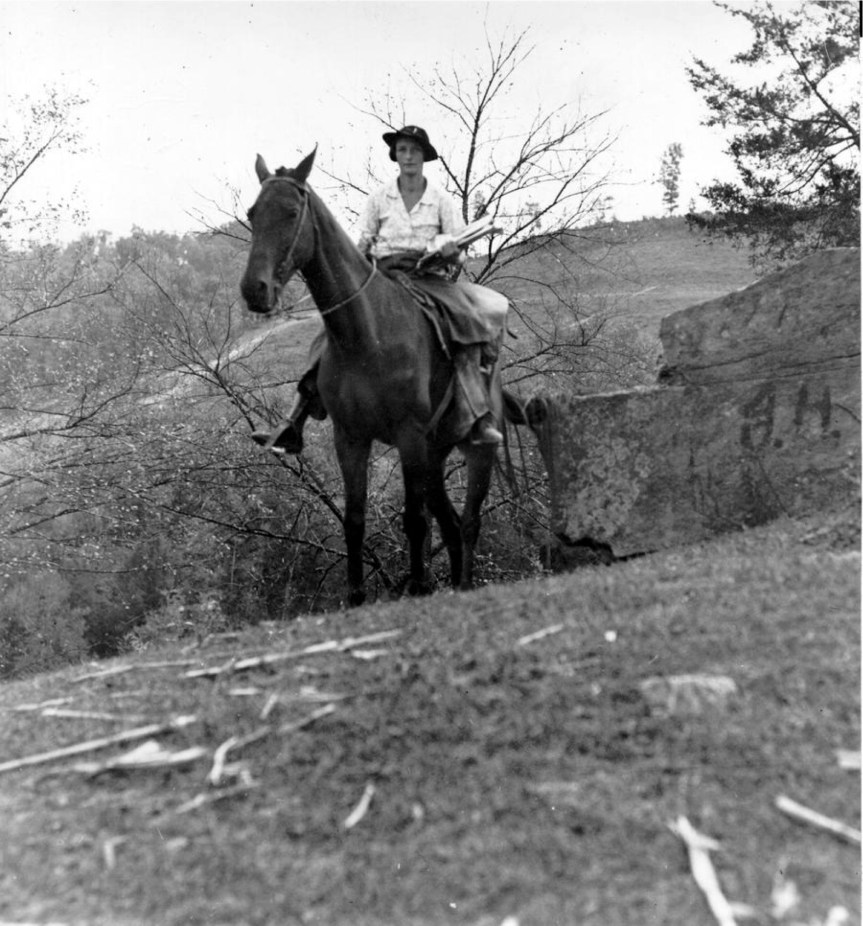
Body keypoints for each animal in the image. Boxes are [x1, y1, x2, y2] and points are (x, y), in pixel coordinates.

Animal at [240, 149, 517, 606]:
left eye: (292, 211)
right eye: (252, 213)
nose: (254, 290)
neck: (366, 335)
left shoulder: (408, 436)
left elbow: (414, 520)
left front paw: (419, 586)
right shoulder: (351, 437)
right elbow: (354, 518)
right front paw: (355, 596)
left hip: (476, 451)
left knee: (469, 522)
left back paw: (461, 586)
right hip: (434, 456)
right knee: (451, 524)